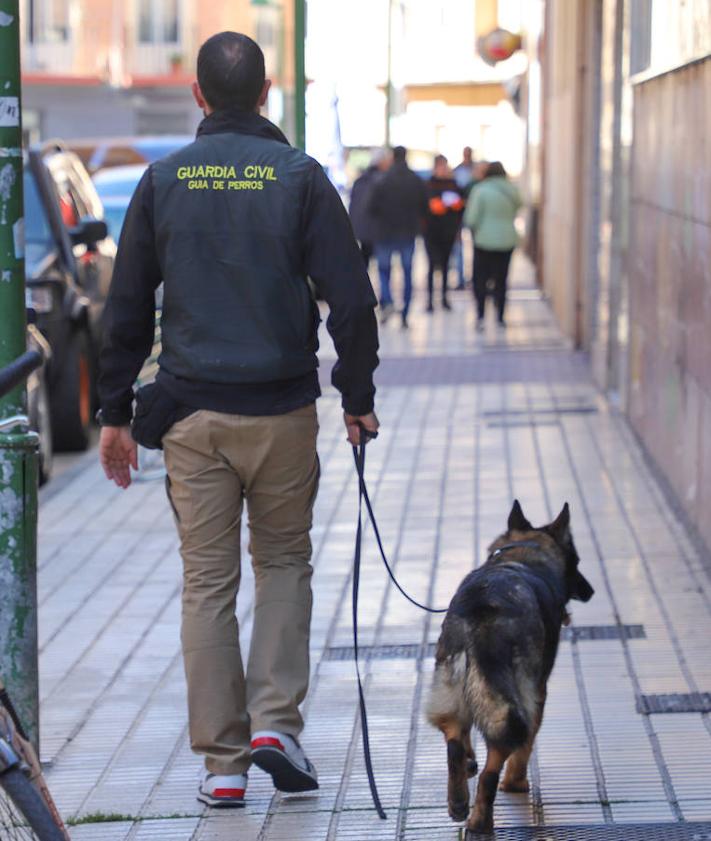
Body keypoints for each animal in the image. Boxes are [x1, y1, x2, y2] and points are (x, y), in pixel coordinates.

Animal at [428, 498, 596, 832]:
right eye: (577, 561)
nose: (590, 591)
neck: (522, 554)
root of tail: (481, 611)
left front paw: (469, 762)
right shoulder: (539, 692)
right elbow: (527, 745)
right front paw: (517, 782)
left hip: (452, 683)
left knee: (454, 738)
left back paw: (459, 799)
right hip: (517, 697)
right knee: (495, 764)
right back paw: (481, 820)